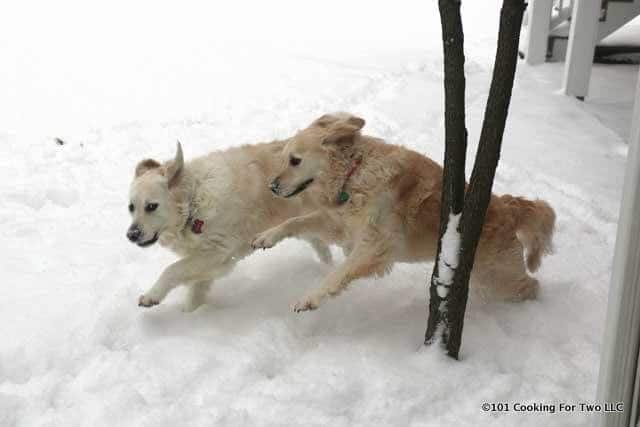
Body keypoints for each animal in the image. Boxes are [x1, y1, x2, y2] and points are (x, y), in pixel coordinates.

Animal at [128, 142, 332, 312]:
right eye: (131, 207)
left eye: (151, 206)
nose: (131, 235)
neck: (194, 203)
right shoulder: (209, 262)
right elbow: (194, 294)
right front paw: (191, 316)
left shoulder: (217, 252)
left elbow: (171, 270)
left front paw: (152, 295)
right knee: (320, 246)